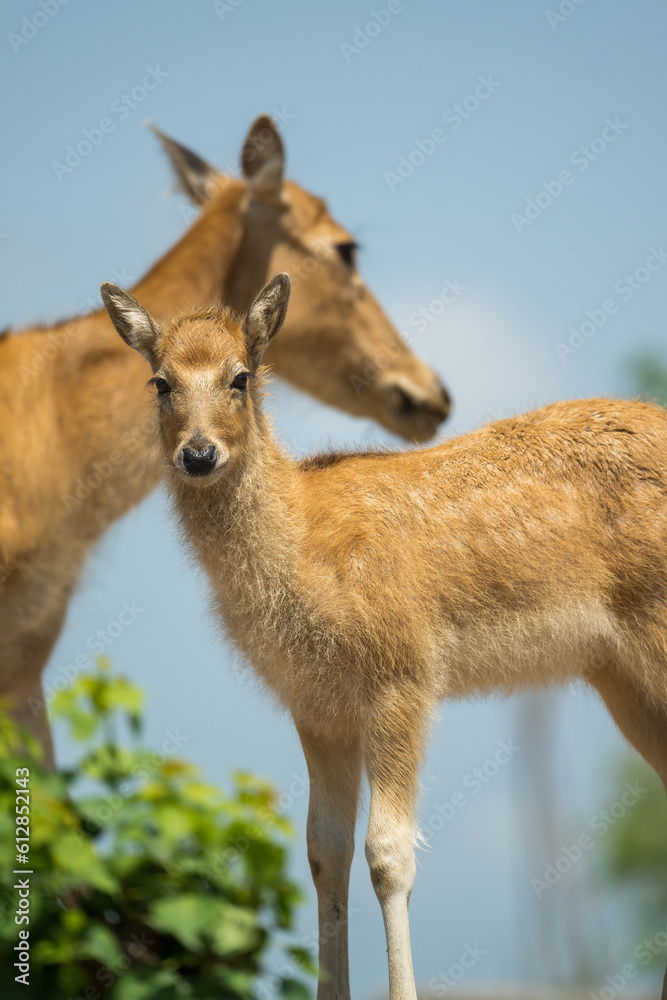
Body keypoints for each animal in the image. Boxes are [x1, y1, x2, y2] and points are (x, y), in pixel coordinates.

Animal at [102, 270, 667, 1000]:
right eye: (160, 381)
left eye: (240, 375)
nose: (198, 454)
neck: (304, 549)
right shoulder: (316, 704)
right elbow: (324, 850)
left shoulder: (403, 676)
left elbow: (387, 853)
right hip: (617, 677)